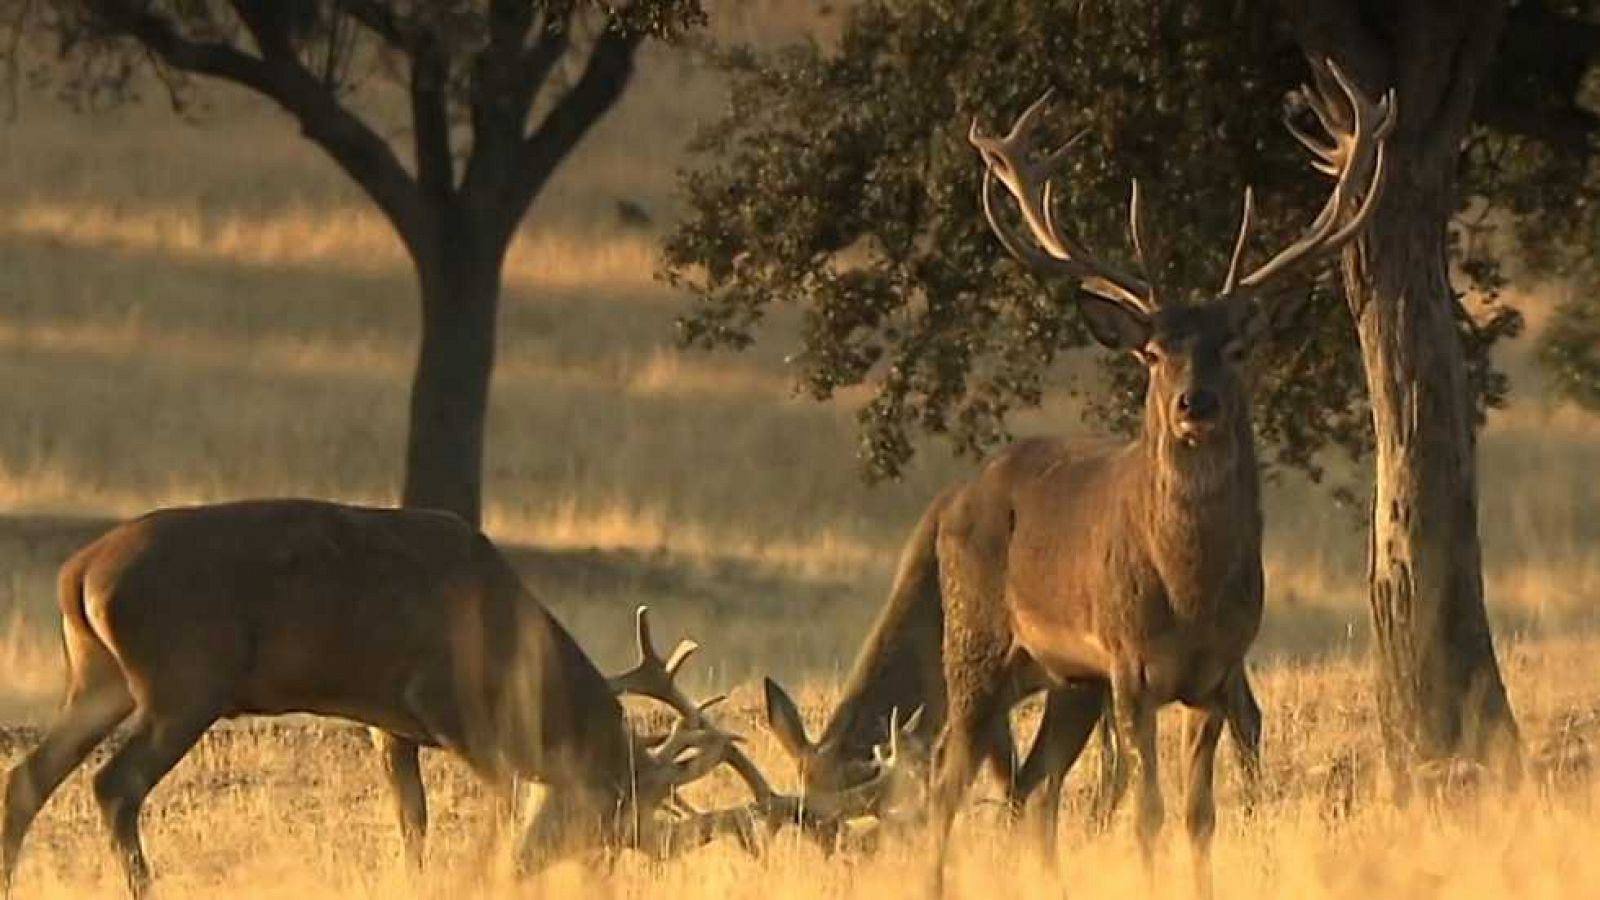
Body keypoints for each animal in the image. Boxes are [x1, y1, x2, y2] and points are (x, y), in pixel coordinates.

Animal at [0, 493, 774, 890]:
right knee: (115, 784)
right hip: (184, 680)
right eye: (615, 823)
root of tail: (79, 574)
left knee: (28, 777)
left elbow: (413, 820)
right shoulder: (447, 704)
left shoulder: (388, 723)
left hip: (98, 678)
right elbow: (504, 798)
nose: (599, 873)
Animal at [928, 61, 1388, 890]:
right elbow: (1145, 815)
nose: (1195, 402)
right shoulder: (1131, 665)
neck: (1188, 593)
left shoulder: (1217, 674)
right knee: (947, 777)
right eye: (1153, 352)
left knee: (1033, 787)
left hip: (1069, 682)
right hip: (976, 638)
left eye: (1235, 347)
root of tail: (959, 496)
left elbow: (1199, 816)